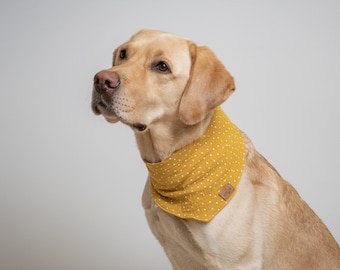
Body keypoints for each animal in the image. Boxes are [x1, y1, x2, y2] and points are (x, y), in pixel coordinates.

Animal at [91, 28, 340, 268]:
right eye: (123, 54)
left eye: (162, 66)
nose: (101, 80)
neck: (172, 163)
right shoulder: (177, 255)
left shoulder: (239, 263)